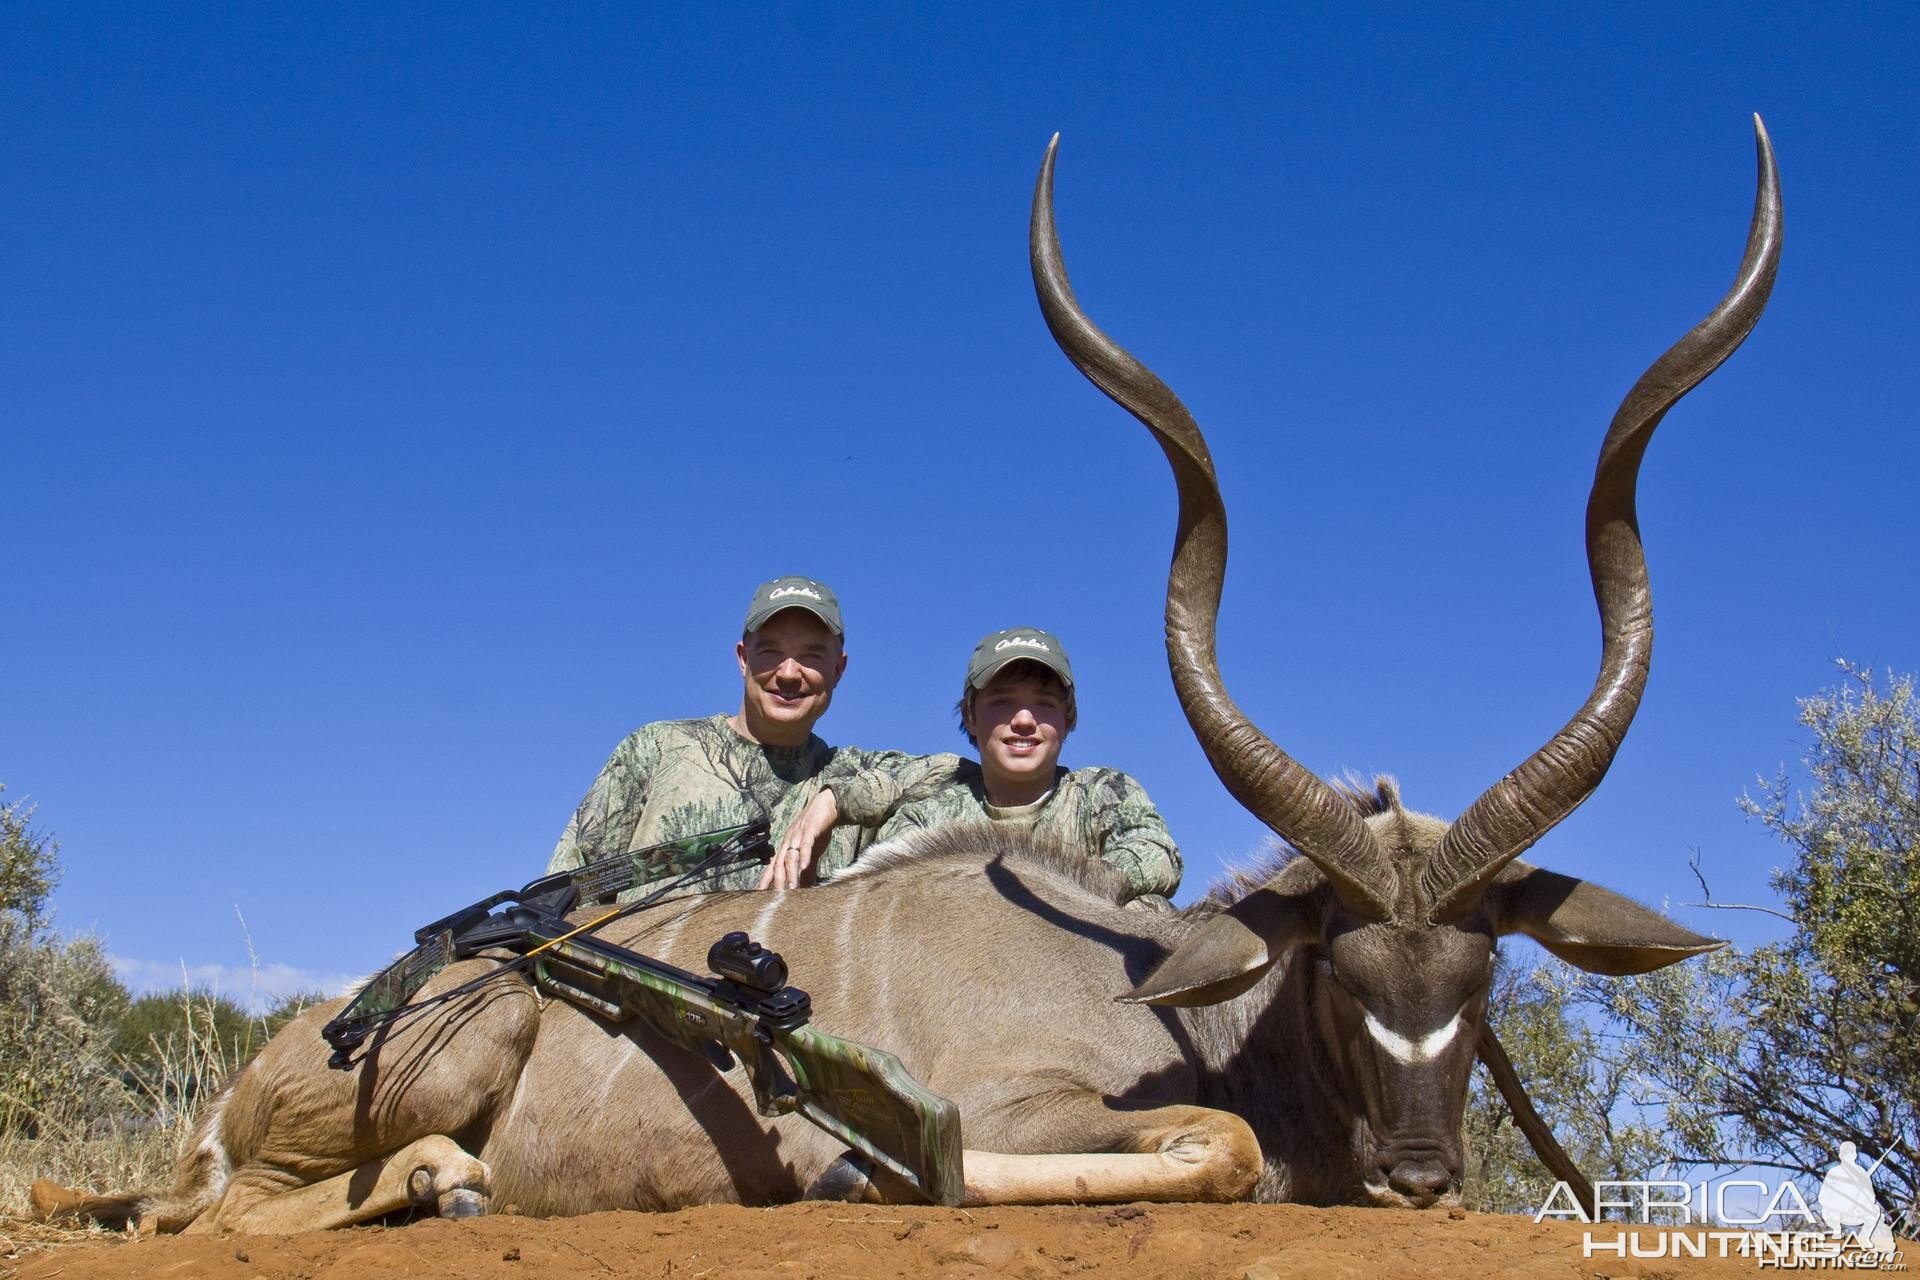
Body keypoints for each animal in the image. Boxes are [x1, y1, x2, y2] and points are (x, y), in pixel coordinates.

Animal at [41, 122, 1781, 1228]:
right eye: (1341, 971)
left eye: (1479, 976)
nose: (1425, 1176)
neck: (1172, 1009)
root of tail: (248, 1081)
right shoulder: (1038, 1111)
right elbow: (1205, 1150)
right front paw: (851, 1169)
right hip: (437, 1066)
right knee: (232, 1220)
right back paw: (441, 1185)